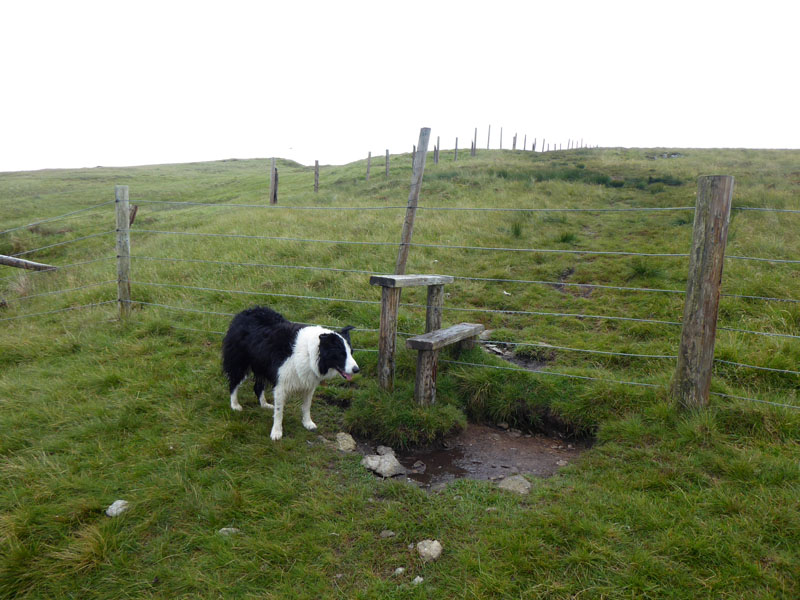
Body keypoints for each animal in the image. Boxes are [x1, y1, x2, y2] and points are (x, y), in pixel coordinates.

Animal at [219, 304, 356, 440]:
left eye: (351, 352)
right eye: (341, 354)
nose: (356, 369)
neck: (310, 353)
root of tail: (245, 312)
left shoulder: (308, 384)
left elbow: (306, 406)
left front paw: (308, 423)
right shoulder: (281, 383)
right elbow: (279, 411)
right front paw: (276, 432)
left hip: (262, 365)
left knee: (257, 387)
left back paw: (264, 404)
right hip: (240, 362)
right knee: (233, 383)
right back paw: (235, 405)